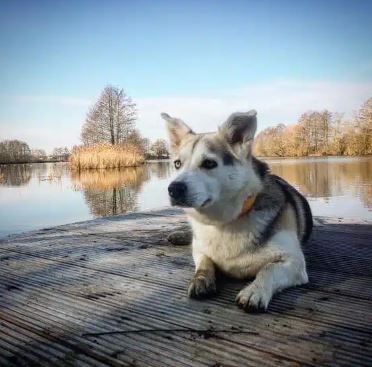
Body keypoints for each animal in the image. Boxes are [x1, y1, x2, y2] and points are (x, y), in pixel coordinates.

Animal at [161, 110, 312, 312]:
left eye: (209, 163)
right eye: (177, 164)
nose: (174, 189)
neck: (223, 222)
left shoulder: (294, 263)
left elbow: (268, 269)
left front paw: (254, 291)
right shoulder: (200, 249)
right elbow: (204, 262)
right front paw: (201, 279)